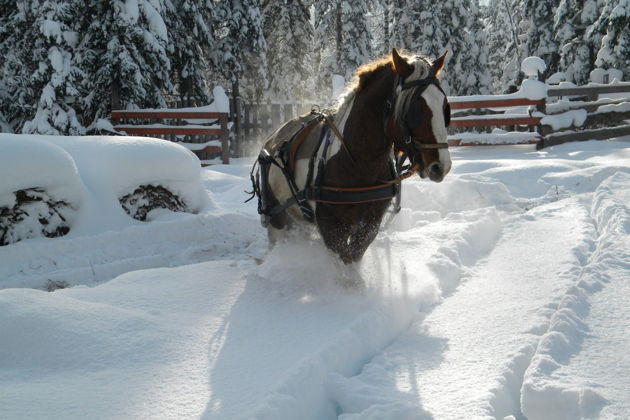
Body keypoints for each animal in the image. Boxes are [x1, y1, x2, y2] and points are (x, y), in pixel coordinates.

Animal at [249, 49, 452, 264]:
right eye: (415, 109)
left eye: (444, 107)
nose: (442, 165)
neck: (360, 163)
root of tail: (273, 138)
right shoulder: (330, 224)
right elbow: (344, 262)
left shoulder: (371, 221)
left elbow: (354, 257)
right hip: (276, 216)